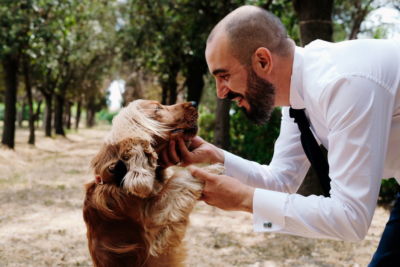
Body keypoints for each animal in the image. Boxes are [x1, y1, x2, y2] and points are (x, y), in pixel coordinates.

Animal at [82, 100, 220, 267]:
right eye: (157, 108)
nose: (194, 102)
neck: (116, 179)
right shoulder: (155, 222)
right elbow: (179, 179)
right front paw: (214, 168)